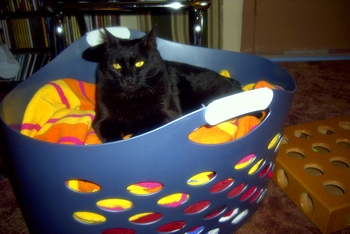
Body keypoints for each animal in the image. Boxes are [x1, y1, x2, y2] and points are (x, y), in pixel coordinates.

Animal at [91, 26, 242, 143]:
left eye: (140, 63)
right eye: (116, 65)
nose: (128, 79)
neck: (131, 97)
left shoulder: (165, 115)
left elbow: (143, 130)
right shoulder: (103, 121)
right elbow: (112, 139)